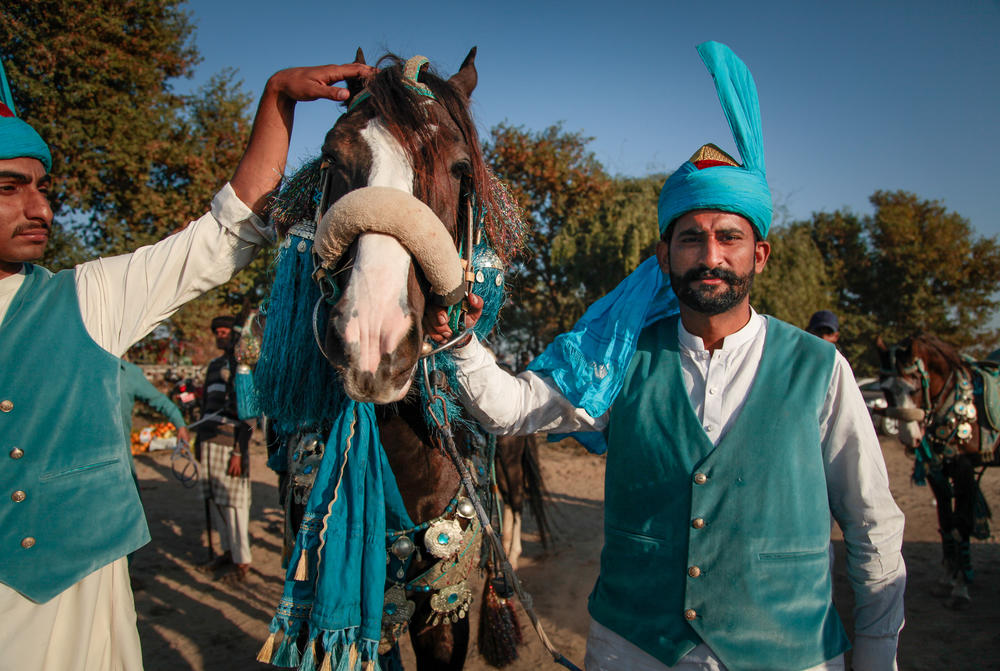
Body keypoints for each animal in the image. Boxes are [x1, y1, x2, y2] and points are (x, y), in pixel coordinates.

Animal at [876, 334, 1000, 608]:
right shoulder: (937, 469)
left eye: (914, 389)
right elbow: (945, 518)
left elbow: (961, 522)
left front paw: (961, 588)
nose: (909, 438)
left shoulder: (964, 467)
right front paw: (947, 577)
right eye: (887, 391)